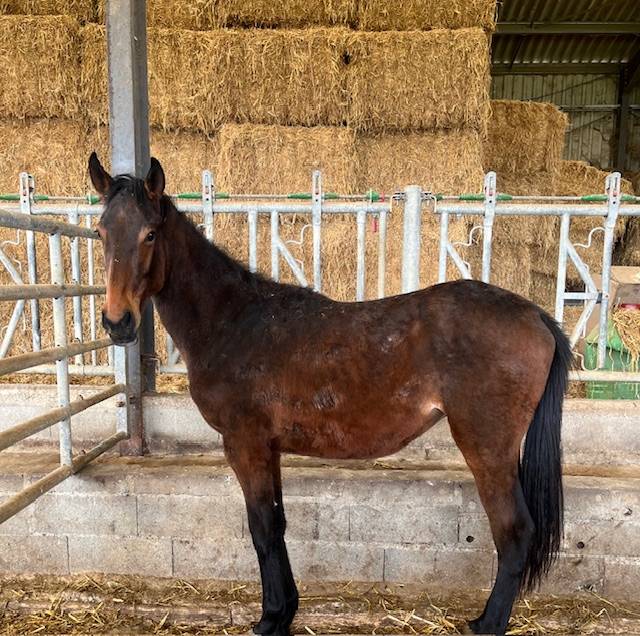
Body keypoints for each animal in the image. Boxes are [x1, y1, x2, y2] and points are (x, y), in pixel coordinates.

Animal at [89, 153, 571, 636]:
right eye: (100, 231)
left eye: (150, 234)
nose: (117, 322)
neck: (232, 321)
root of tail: (536, 316)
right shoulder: (269, 448)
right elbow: (278, 523)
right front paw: (285, 610)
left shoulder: (245, 444)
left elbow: (262, 529)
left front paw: (270, 618)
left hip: (487, 447)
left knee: (514, 533)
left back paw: (487, 623)